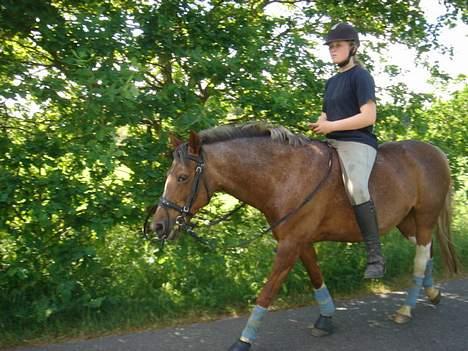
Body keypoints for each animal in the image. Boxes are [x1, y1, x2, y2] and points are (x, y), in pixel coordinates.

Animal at [148, 122, 458, 350]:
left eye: (183, 177)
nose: (158, 226)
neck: (285, 176)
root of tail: (435, 151)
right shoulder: (300, 241)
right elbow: (315, 275)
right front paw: (326, 318)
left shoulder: (290, 244)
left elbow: (267, 292)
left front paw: (243, 340)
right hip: (407, 222)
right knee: (426, 251)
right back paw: (432, 293)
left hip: (425, 218)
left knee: (420, 257)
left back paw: (406, 309)